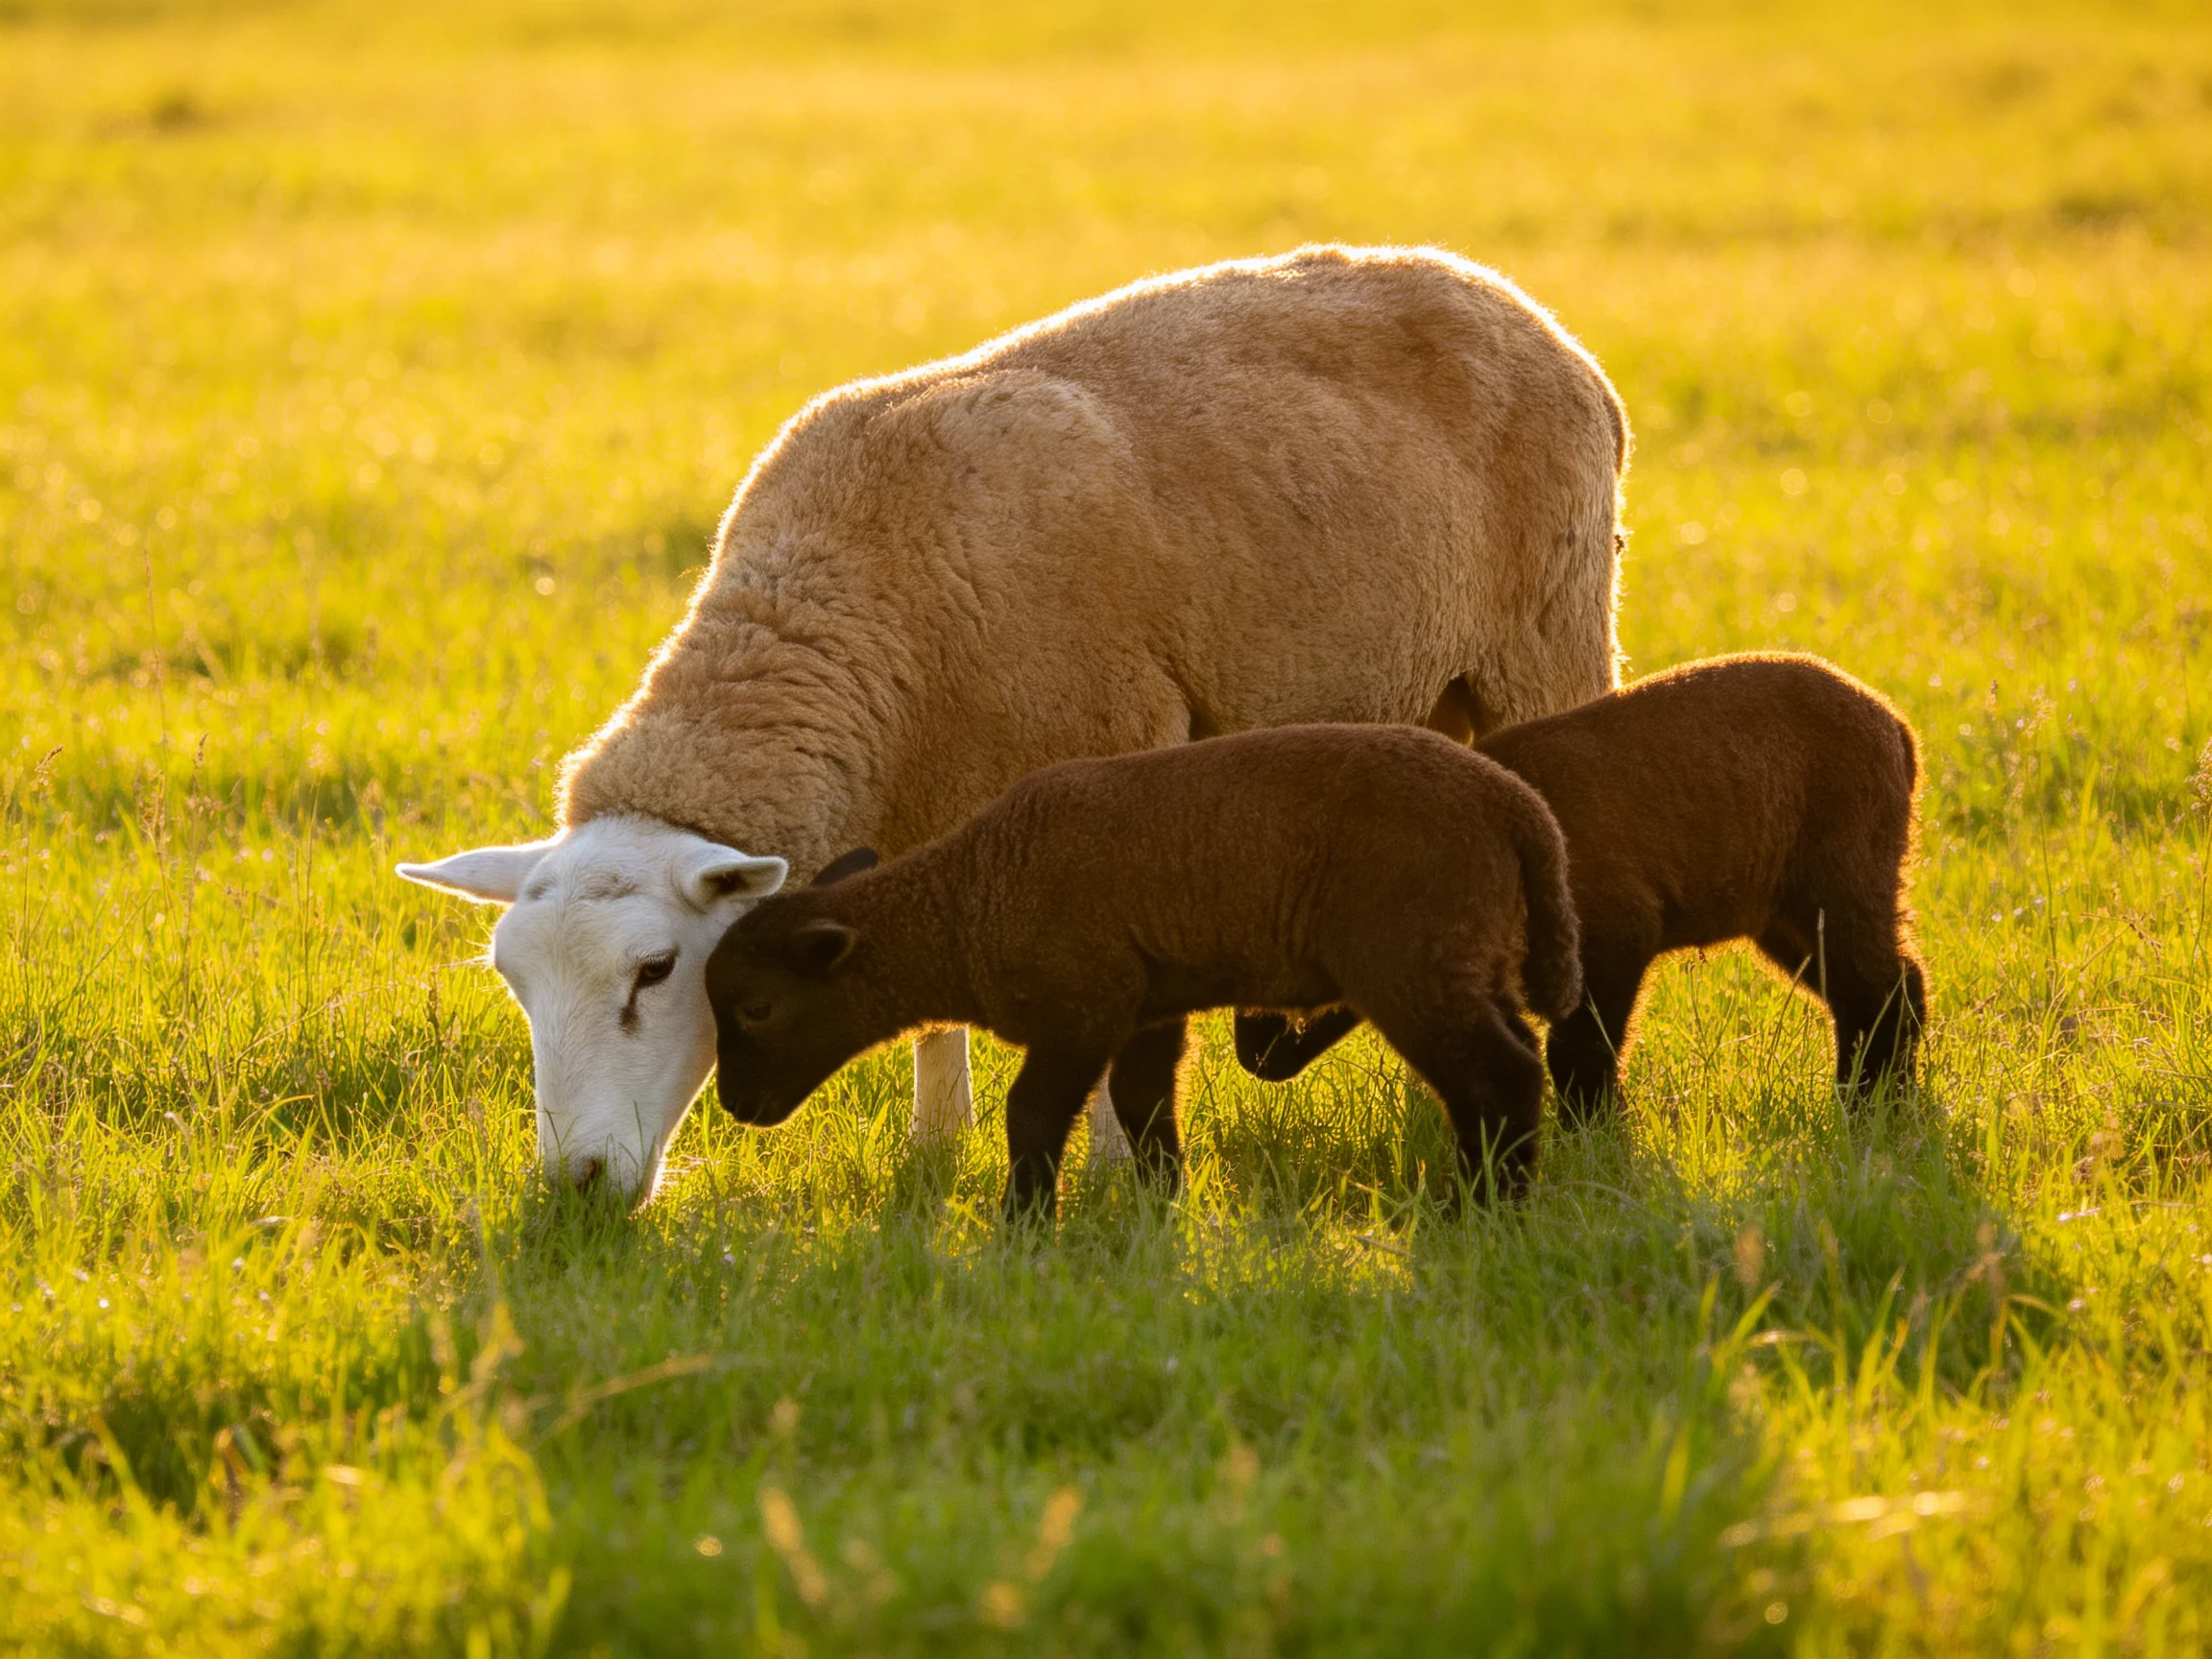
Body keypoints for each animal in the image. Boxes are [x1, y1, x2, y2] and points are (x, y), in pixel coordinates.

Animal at [704, 725, 1584, 1218]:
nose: (738, 1108)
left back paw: (1486, 1211)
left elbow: (1032, 1115)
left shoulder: (1085, 1003)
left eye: (756, 1009)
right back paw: (1492, 1193)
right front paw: (1164, 1207)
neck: (967, 903)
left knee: (1496, 1073)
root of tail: (1521, 812)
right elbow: (1142, 1105)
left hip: (1412, 957)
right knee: (1508, 1064)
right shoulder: (1150, 1006)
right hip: (1469, 952)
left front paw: (1023, 1227)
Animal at [1234, 654, 1928, 1116]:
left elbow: (1579, 1051)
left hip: (1842, 877)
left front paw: (1590, 1132)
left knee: (1889, 988)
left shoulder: (1616, 931)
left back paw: (1875, 1103)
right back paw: (1868, 1097)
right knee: (1870, 991)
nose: (1252, 1055)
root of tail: (1898, 728)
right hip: (1783, 912)